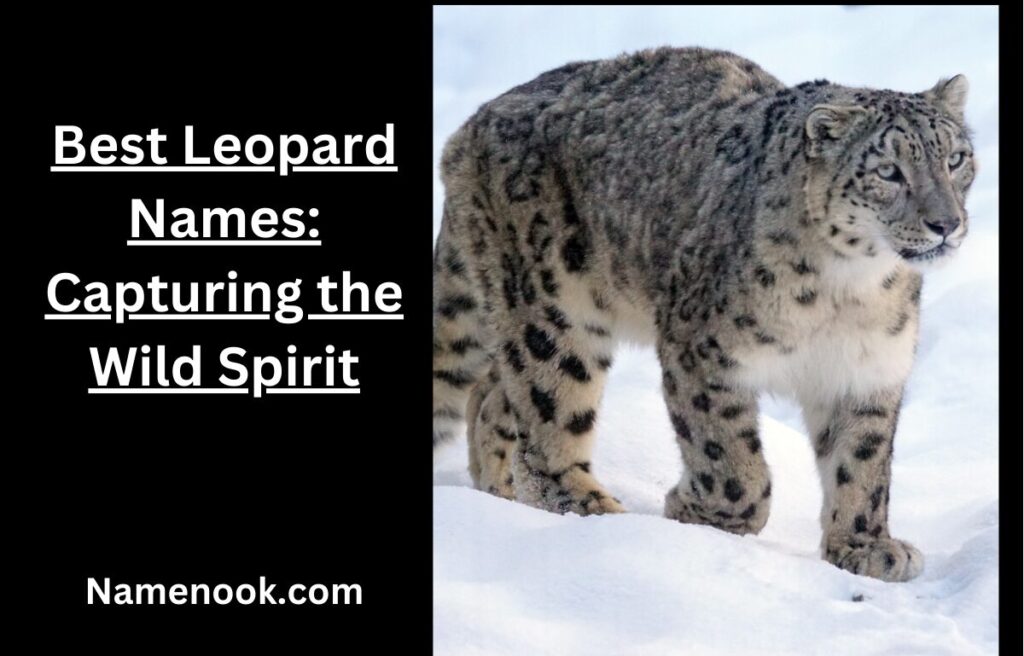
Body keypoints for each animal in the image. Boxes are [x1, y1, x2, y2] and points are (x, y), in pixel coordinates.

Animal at [431, 47, 974, 582]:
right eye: (888, 171)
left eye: (956, 159)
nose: (946, 223)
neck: (850, 290)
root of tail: (472, 124)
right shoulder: (704, 352)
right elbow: (730, 458)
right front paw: (698, 512)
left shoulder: (867, 369)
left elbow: (862, 460)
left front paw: (865, 547)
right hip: (555, 312)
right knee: (548, 415)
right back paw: (591, 514)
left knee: (492, 396)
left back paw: (498, 495)